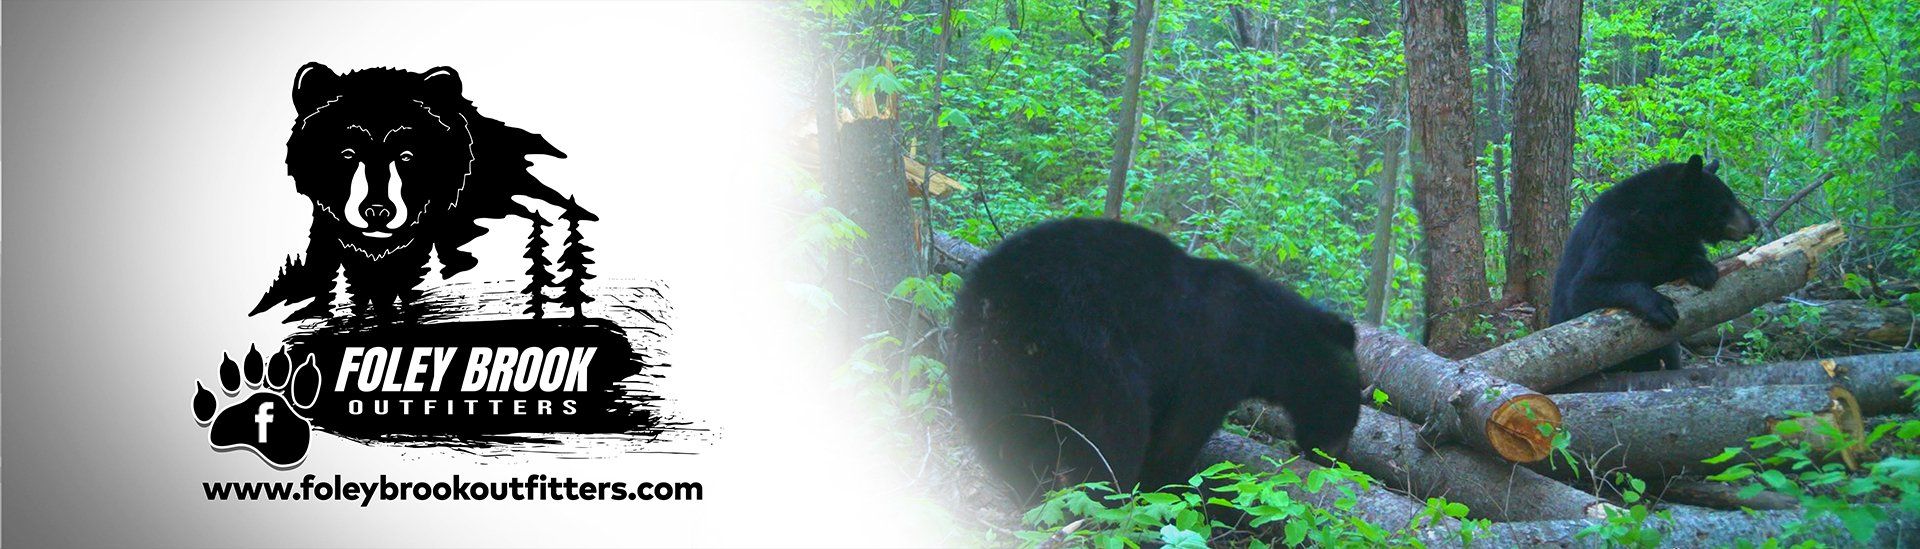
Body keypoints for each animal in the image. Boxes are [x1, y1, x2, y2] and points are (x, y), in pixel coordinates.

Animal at [949, 218, 1363, 504]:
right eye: (1353, 407)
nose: (1336, 456)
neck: (1268, 339)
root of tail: (990, 303)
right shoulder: (1213, 361)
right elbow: (1179, 433)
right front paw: (1168, 489)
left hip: (984, 376)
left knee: (1006, 442)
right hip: (1086, 349)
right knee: (1114, 432)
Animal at [1549, 154, 1759, 372]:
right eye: (1726, 202)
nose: (1754, 223)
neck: (1660, 221)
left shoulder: (1676, 241)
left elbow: (1684, 259)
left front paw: (1703, 269)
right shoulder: (1617, 233)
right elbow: (1583, 289)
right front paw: (1659, 306)